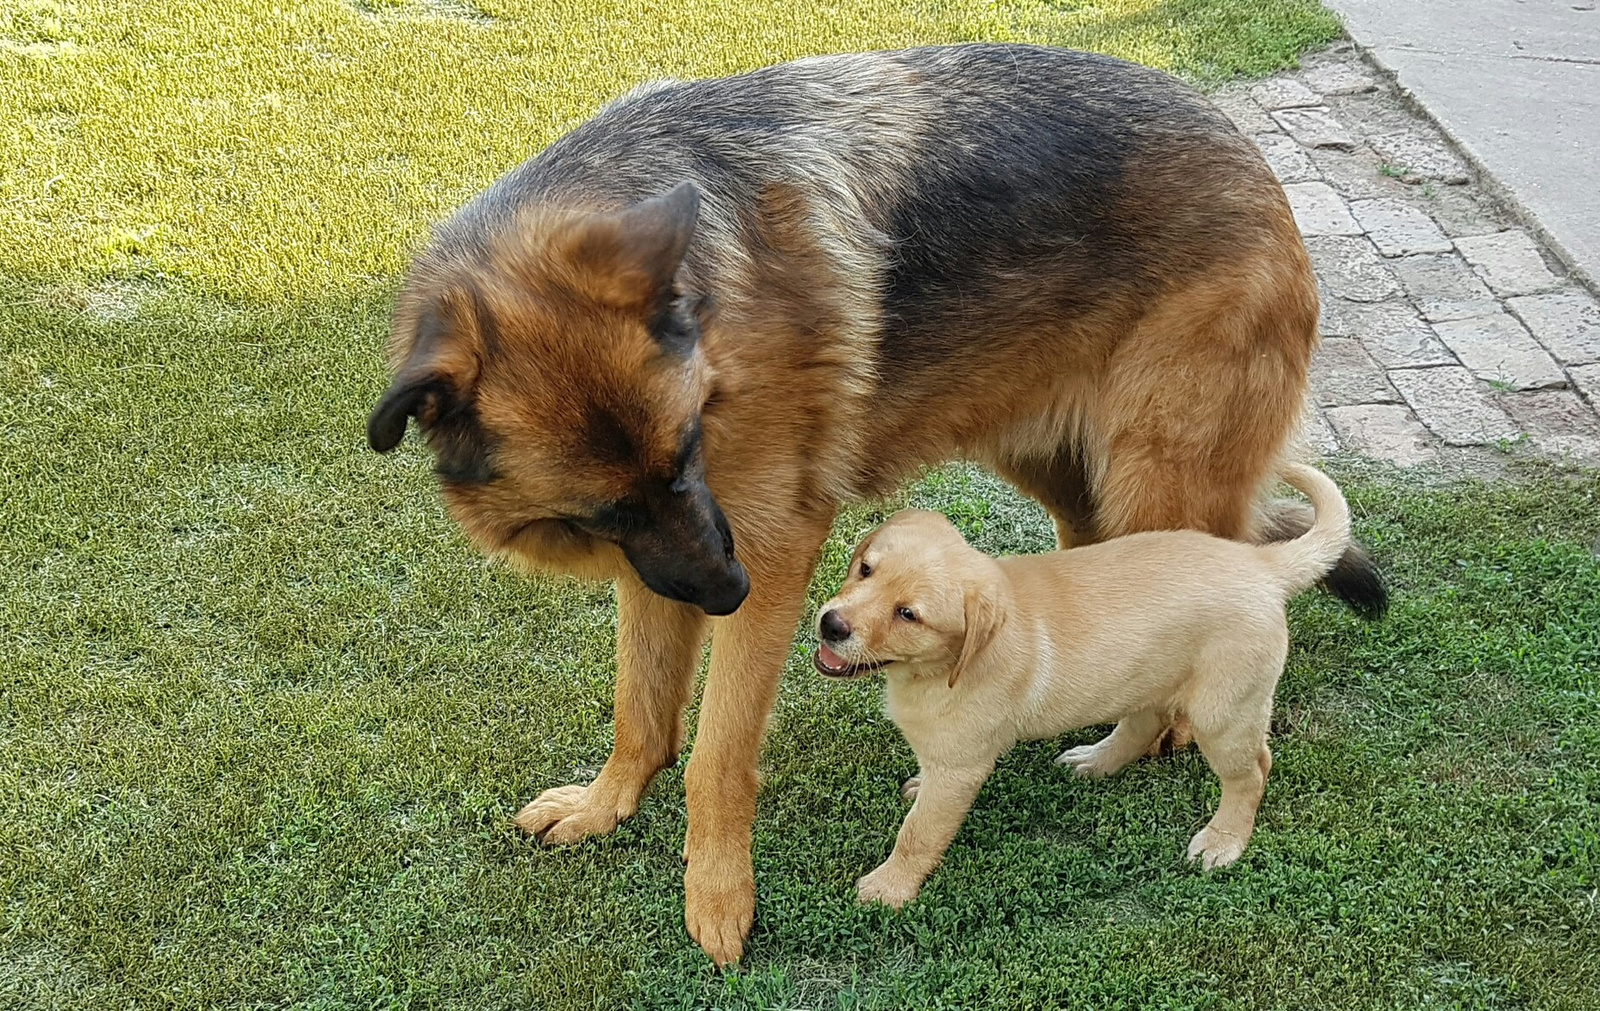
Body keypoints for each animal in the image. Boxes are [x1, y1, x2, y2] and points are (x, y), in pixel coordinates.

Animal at [812, 460, 1350, 902]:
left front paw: (890, 887)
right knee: (1143, 725)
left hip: (1223, 712)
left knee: (1253, 770)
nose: (831, 625)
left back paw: (1222, 841)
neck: (944, 666)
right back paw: (1094, 761)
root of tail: (1263, 565)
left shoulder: (962, 766)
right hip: (1150, 677)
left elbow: (919, 832)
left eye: (909, 615)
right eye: (865, 569)